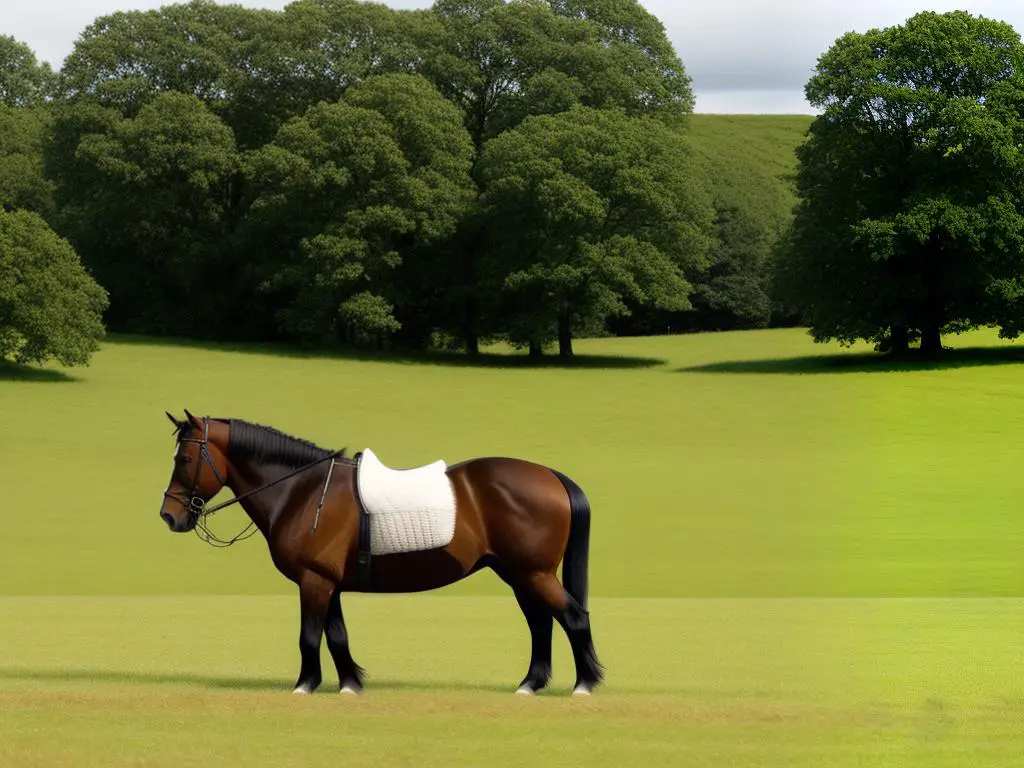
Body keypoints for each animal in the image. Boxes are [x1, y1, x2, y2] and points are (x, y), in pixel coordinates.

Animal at [157, 411, 598, 700]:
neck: (304, 491)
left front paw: (304, 685)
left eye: (185, 458)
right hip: (519, 574)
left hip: (534, 573)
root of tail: (551, 475)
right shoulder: (327, 582)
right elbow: (336, 635)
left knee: (572, 617)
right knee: (541, 623)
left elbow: (309, 635)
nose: (169, 515)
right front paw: (350, 684)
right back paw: (530, 684)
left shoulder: (314, 581)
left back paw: (583, 685)